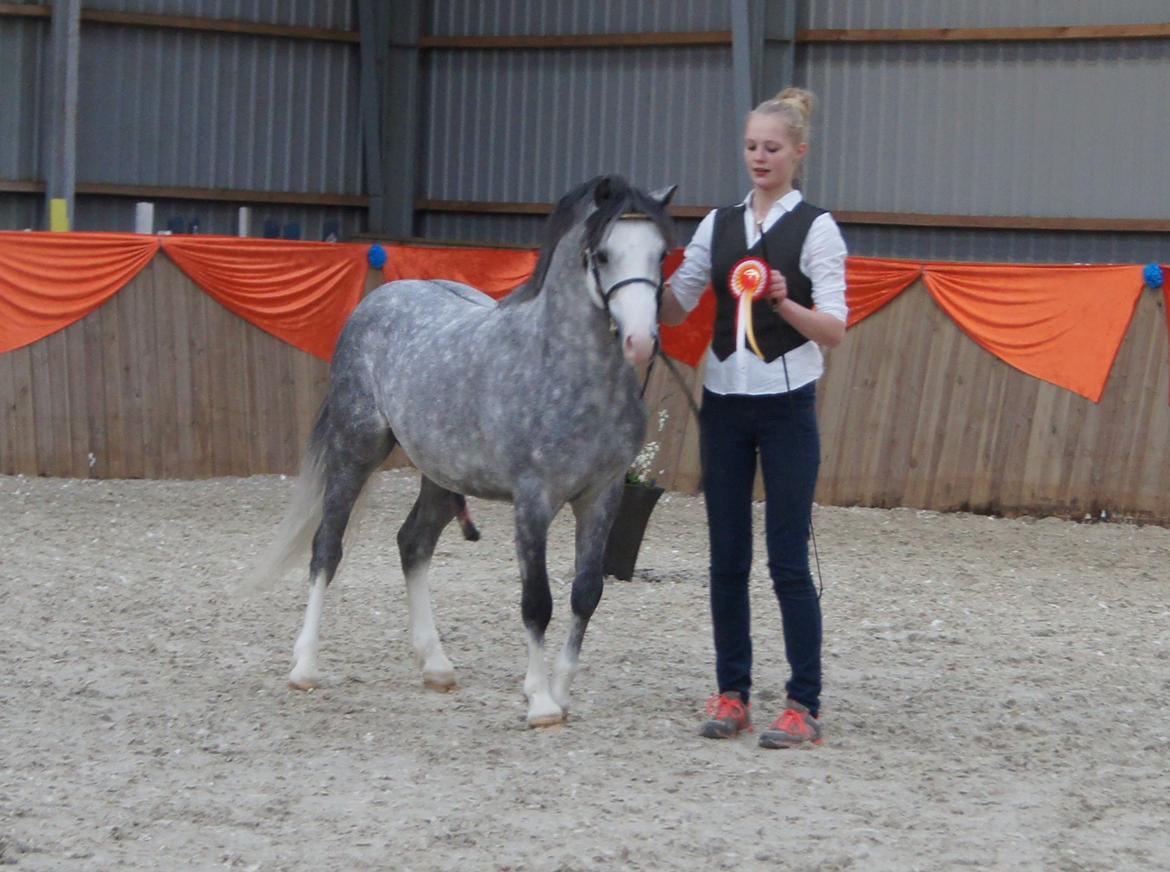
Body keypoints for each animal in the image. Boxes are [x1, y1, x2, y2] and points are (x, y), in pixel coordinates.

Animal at [247, 175, 677, 727]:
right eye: (602, 254)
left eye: (661, 253)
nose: (642, 341)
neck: (567, 373)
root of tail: (379, 300)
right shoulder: (534, 501)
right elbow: (537, 602)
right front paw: (539, 702)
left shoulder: (602, 496)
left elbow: (586, 593)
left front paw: (561, 693)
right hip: (354, 449)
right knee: (327, 547)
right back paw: (304, 667)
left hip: (439, 474)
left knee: (413, 544)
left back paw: (436, 666)